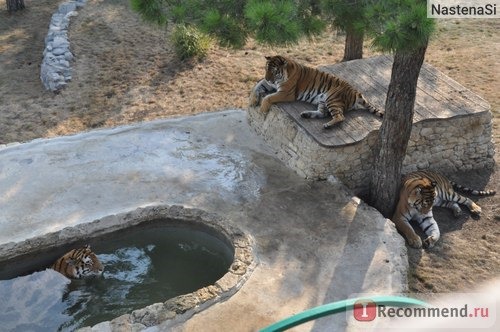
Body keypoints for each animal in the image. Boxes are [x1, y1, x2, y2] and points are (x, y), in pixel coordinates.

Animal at [249, 55, 382, 129]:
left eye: (274, 71)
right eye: (266, 69)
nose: (267, 78)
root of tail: (356, 92)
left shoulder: (286, 93)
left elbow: (269, 97)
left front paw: (262, 109)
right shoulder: (269, 84)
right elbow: (257, 86)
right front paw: (252, 101)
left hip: (332, 99)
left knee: (340, 116)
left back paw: (327, 125)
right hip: (323, 101)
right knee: (323, 113)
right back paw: (306, 114)